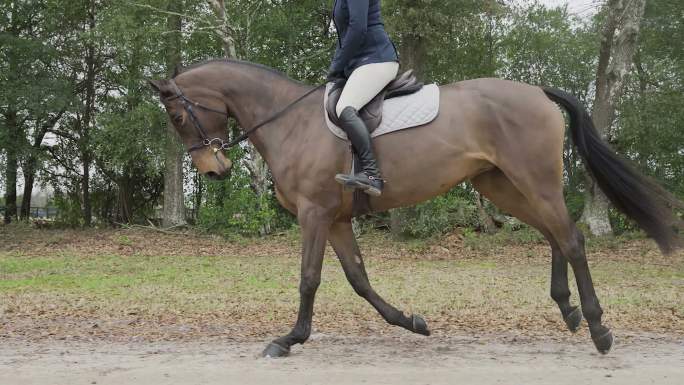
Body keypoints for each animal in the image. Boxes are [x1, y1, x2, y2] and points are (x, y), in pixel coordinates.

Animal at [148, 57, 680, 356]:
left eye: (177, 115)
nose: (214, 170)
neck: (291, 122)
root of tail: (536, 91)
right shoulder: (336, 219)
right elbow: (359, 280)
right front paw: (412, 322)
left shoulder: (315, 214)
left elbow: (309, 278)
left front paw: (289, 339)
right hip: (501, 186)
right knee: (554, 234)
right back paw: (568, 311)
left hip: (535, 180)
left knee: (570, 237)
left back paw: (597, 328)